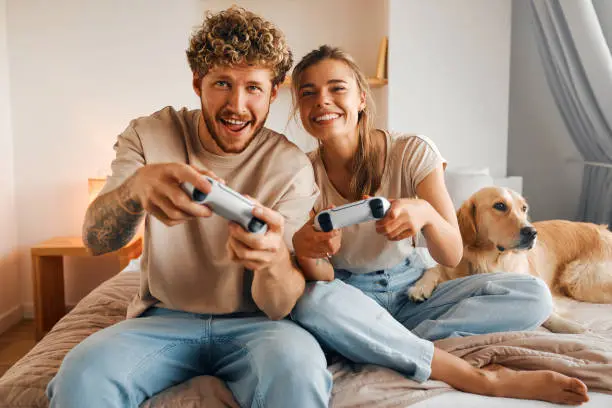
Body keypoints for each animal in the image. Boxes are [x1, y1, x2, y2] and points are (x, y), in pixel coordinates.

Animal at [408, 186, 612, 334]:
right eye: (499, 206)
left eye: (524, 208)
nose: (532, 232)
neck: (489, 259)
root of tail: (604, 230)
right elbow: (433, 269)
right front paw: (420, 288)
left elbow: (549, 310)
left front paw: (570, 326)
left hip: (577, 281)